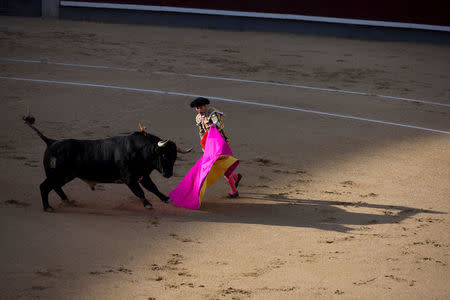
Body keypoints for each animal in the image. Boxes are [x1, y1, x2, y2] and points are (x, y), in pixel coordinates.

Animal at [22, 115, 190, 211]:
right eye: (163, 155)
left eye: (174, 157)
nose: (168, 174)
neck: (141, 151)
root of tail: (51, 142)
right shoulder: (129, 177)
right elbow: (140, 191)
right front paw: (147, 204)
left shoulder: (143, 175)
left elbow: (153, 188)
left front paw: (166, 199)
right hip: (57, 174)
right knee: (44, 186)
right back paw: (48, 207)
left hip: (66, 175)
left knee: (55, 187)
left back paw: (67, 201)